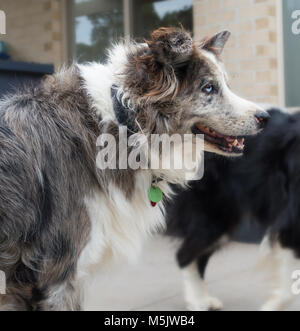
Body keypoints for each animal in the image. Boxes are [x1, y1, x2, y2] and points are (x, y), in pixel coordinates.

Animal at [165, 108, 300, 312]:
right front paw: (271, 306)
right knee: (184, 255)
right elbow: (286, 291)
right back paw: (197, 302)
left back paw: (205, 299)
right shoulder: (290, 222)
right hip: (213, 215)